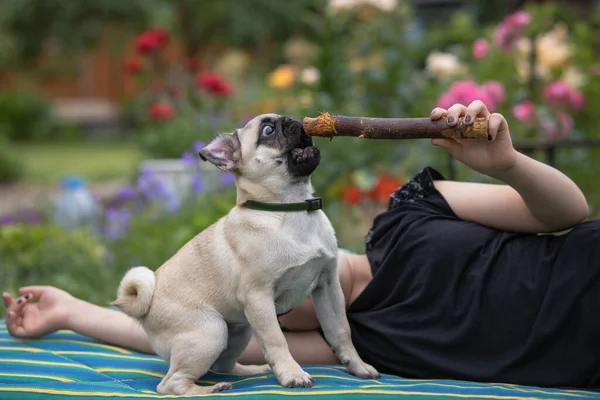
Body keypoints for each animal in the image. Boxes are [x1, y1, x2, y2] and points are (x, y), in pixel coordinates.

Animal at [111, 114, 380, 396]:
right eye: (268, 130)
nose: (295, 120)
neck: (290, 208)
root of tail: (145, 308)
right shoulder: (259, 297)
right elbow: (276, 340)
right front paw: (292, 374)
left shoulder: (328, 287)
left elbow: (341, 331)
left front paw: (358, 366)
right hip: (211, 330)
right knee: (169, 384)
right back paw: (209, 389)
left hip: (240, 332)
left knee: (224, 364)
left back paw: (252, 371)